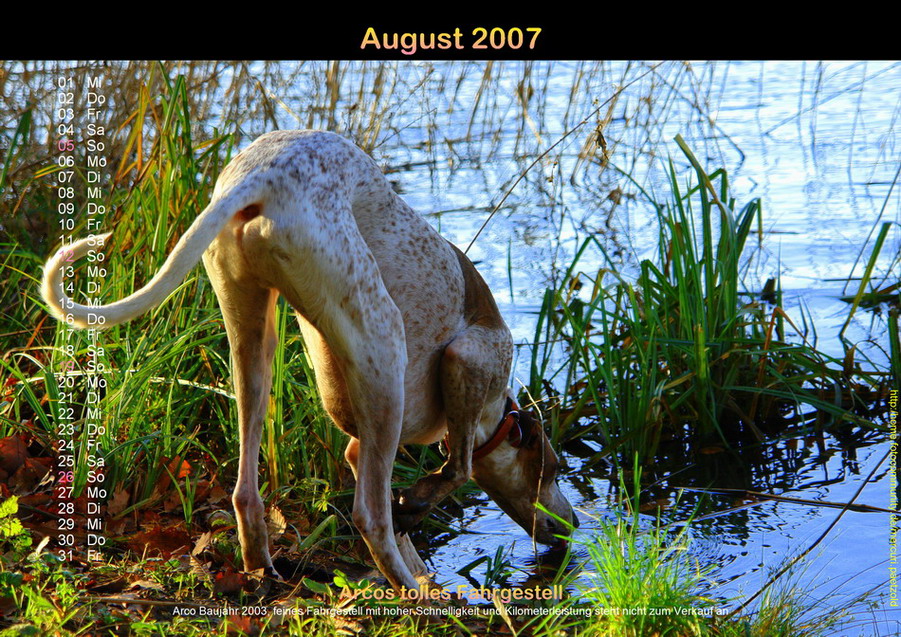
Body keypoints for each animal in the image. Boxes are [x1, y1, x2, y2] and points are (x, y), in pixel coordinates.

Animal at [40, 129, 576, 592]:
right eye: (551, 472)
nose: (571, 530)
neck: (497, 411)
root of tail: (262, 176)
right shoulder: (469, 360)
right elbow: (456, 469)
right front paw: (420, 515)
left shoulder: (362, 437)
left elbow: (392, 487)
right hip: (383, 341)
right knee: (370, 517)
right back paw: (415, 598)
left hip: (253, 339)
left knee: (247, 492)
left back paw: (262, 569)